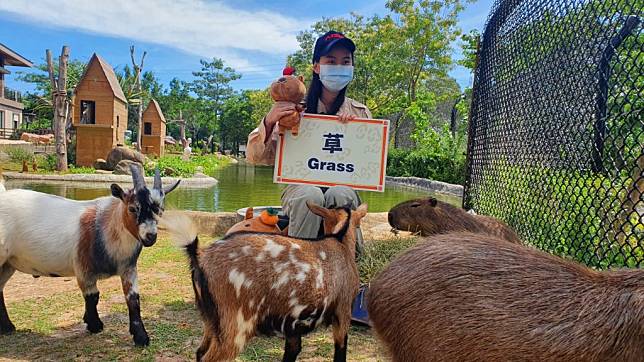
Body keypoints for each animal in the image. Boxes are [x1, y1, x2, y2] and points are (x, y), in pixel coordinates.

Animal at [0, 167, 180, 346]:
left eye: (160, 210)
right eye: (132, 208)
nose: (150, 237)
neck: (105, 226)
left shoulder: (128, 268)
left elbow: (133, 299)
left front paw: (141, 336)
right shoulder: (83, 269)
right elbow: (93, 296)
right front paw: (95, 325)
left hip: (8, 264)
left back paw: (8, 327)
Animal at [164, 202, 368, 360]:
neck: (340, 242)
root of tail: (200, 256)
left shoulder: (292, 325)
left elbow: (292, 351)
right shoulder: (343, 311)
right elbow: (340, 350)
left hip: (211, 321)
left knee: (199, 352)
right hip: (236, 324)